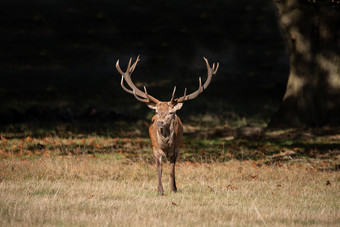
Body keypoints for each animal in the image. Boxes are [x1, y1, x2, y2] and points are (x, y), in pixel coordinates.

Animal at [115, 55, 219, 194]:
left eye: (171, 112)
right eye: (156, 111)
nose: (160, 122)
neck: (166, 145)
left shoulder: (176, 149)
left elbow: (172, 170)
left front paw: (173, 189)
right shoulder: (155, 149)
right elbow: (159, 169)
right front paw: (160, 190)